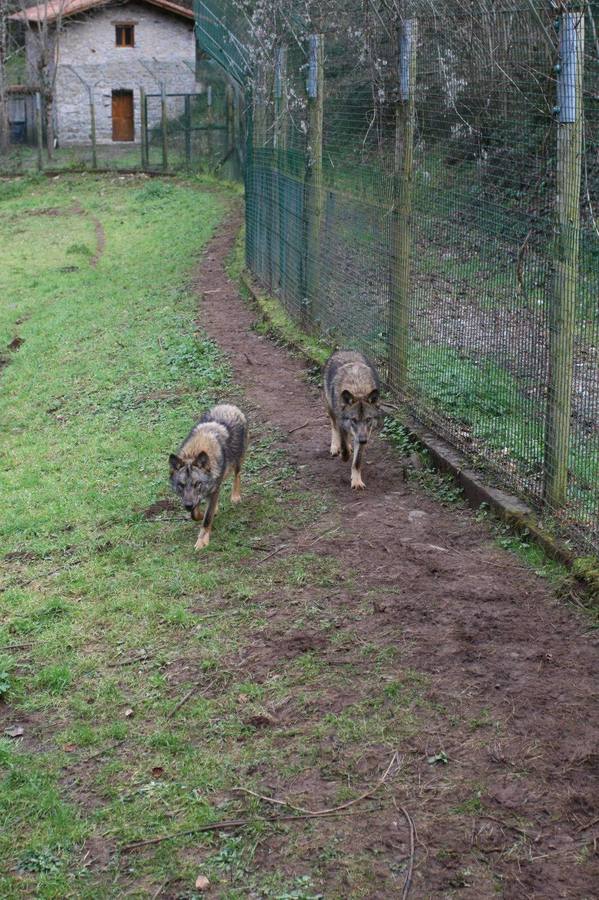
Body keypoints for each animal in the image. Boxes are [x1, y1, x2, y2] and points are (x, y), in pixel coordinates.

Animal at [169, 406, 248, 548]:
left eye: (197, 484)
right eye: (181, 485)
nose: (187, 505)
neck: (195, 451)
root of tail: (230, 406)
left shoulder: (214, 490)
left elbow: (207, 518)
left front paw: (202, 542)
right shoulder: (196, 498)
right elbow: (195, 514)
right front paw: (202, 514)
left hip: (238, 460)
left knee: (237, 475)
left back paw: (235, 497)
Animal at [326, 350, 382, 488]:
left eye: (368, 419)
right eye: (354, 420)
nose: (362, 440)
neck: (358, 389)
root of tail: (344, 350)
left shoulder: (365, 434)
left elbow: (357, 461)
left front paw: (356, 481)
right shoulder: (342, 423)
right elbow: (344, 446)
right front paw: (344, 455)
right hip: (330, 409)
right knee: (334, 427)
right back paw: (335, 447)